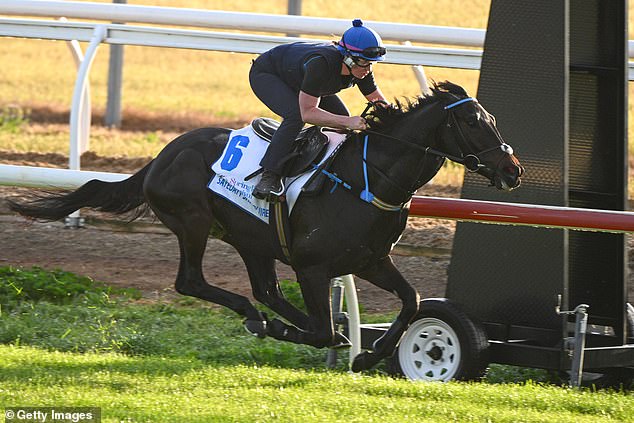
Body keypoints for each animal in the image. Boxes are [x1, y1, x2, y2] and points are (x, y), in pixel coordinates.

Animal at [8, 81, 524, 372]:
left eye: (492, 118)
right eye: (474, 122)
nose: (513, 169)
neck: (370, 178)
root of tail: (162, 156)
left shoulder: (371, 259)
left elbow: (411, 300)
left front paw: (368, 353)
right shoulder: (313, 267)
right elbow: (321, 329)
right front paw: (314, 336)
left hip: (251, 239)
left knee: (266, 290)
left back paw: (274, 319)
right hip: (194, 221)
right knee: (193, 281)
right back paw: (260, 320)